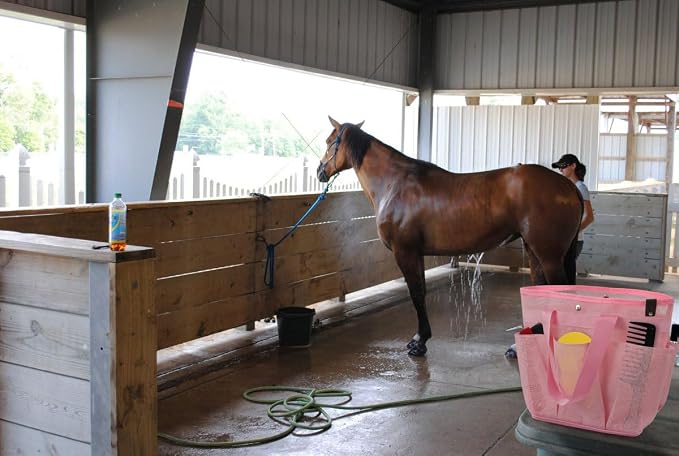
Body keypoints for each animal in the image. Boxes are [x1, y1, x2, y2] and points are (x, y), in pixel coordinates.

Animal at [317, 116, 583, 357]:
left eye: (330, 142)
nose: (320, 171)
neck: (395, 184)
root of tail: (569, 187)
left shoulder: (405, 252)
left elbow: (415, 293)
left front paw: (419, 342)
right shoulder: (416, 253)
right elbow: (421, 291)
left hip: (548, 254)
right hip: (535, 251)